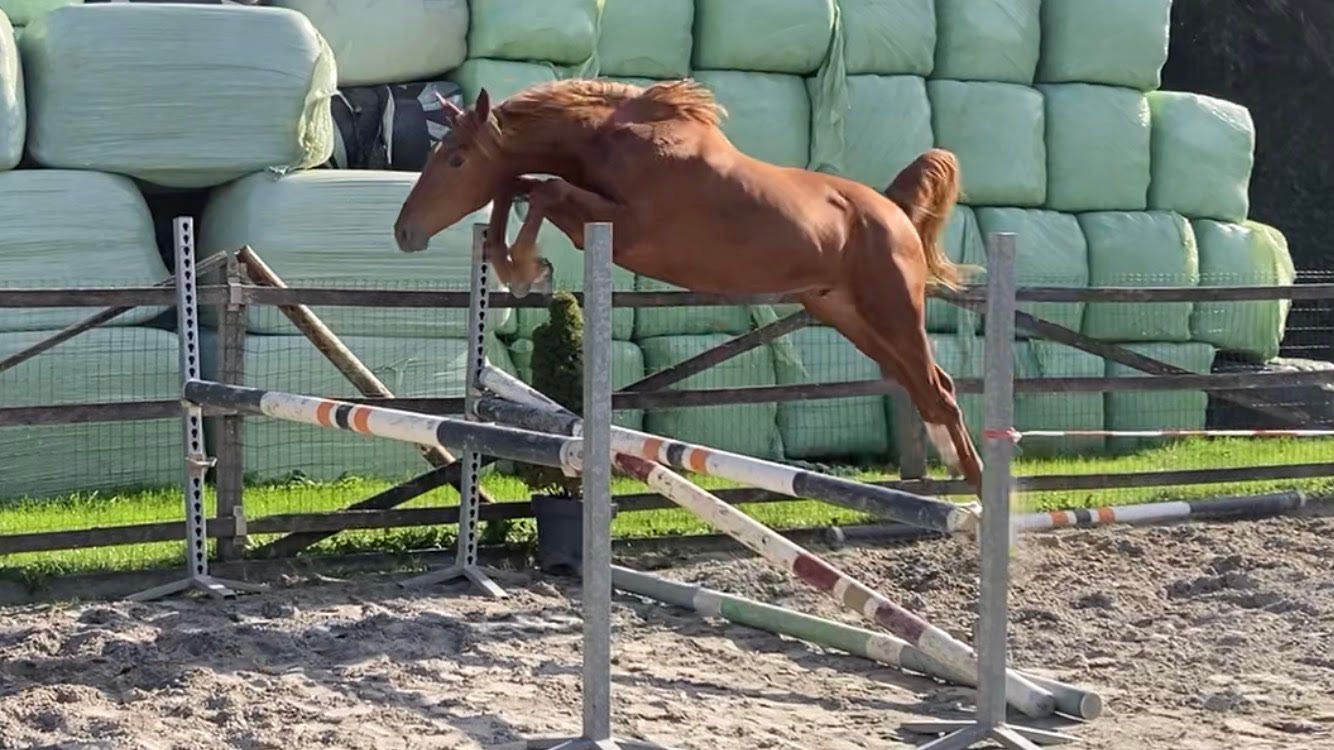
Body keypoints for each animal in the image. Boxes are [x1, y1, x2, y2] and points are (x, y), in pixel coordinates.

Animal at [393, 78, 983, 494]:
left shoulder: (625, 231)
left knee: (938, 390)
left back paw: (979, 498)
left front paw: (524, 270)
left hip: (892, 310)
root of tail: (894, 211)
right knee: (929, 387)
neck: (614, 141)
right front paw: (511, 262)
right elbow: (520, 184)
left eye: (456, 158)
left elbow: (540, 188)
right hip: (848, 316)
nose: (404, 232)